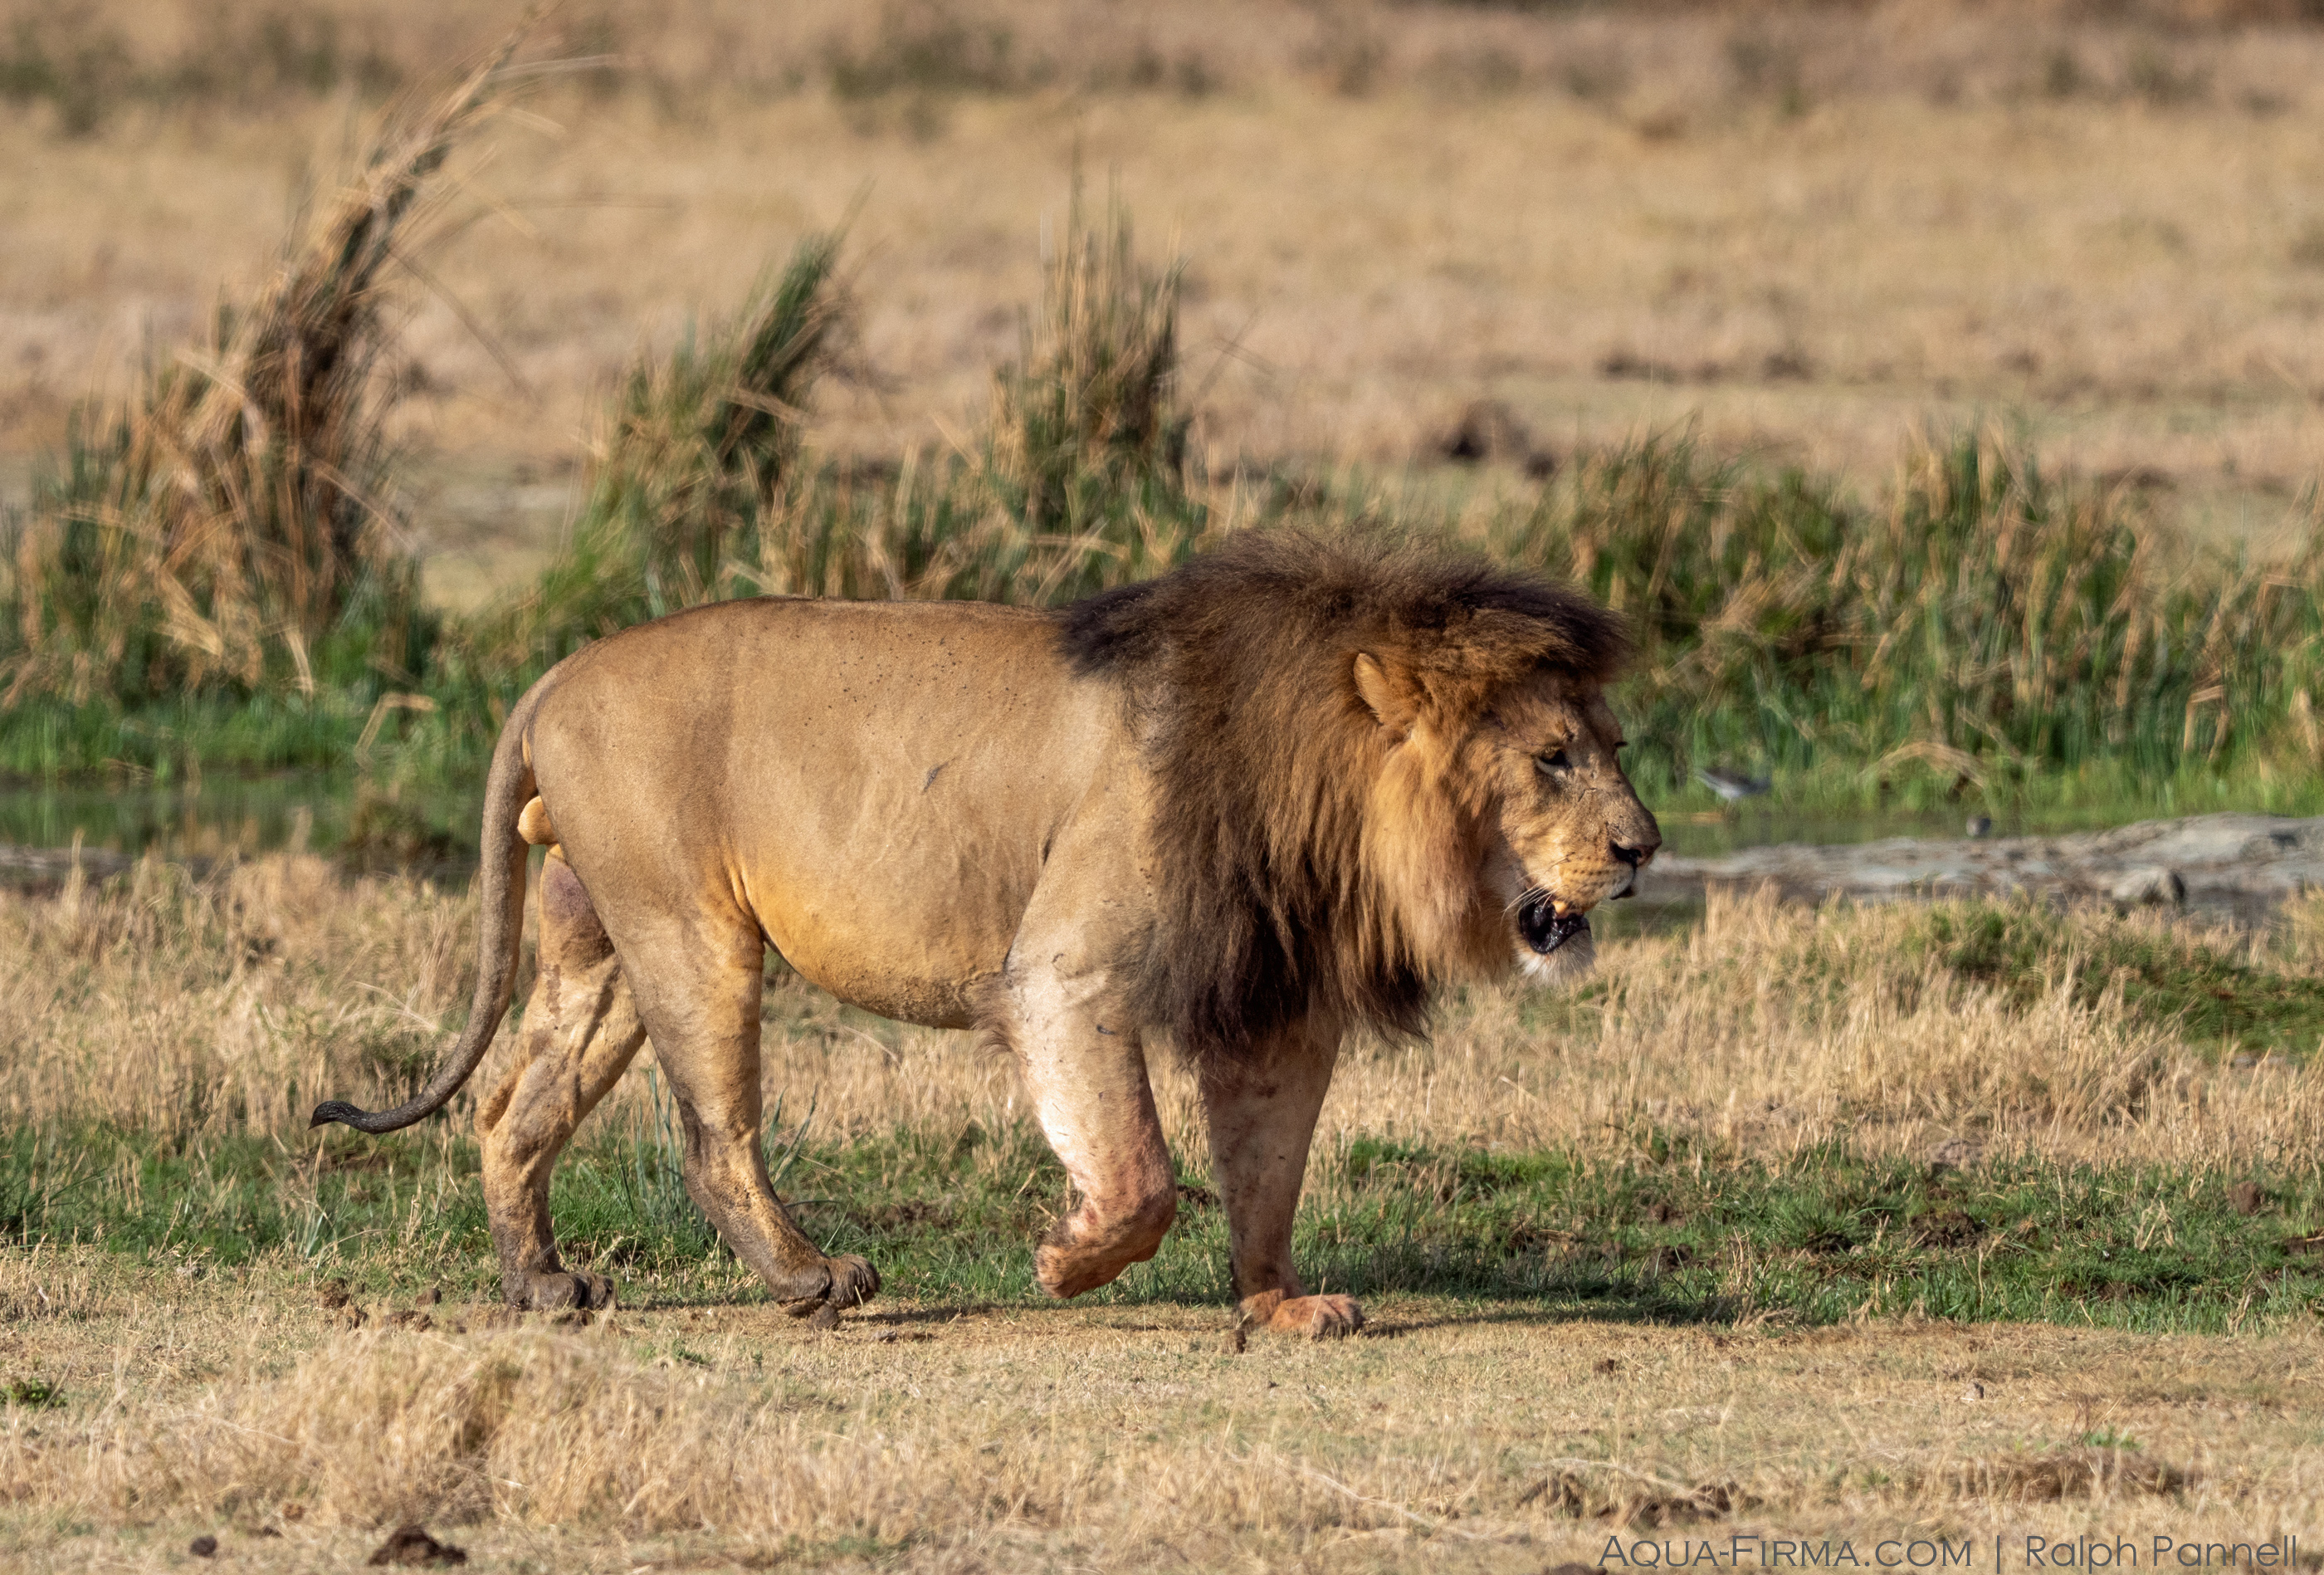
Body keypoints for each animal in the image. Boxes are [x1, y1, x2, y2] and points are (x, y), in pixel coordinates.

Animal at [313, 533, 1660, 1336]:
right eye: (1550, 759)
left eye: (1614, 747)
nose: (1643, 848)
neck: (1314, 782)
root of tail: (555, 672)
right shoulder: (1068, 969)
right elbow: (1143, 1173)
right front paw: (1066, 1262)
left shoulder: (1277, 999)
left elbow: (1266, 1170)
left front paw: (1279, 1307)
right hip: (690, 926)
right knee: (712, 1134)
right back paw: (813, 1280)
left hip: (598, 937)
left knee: (512, 1108)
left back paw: (541, 1285)